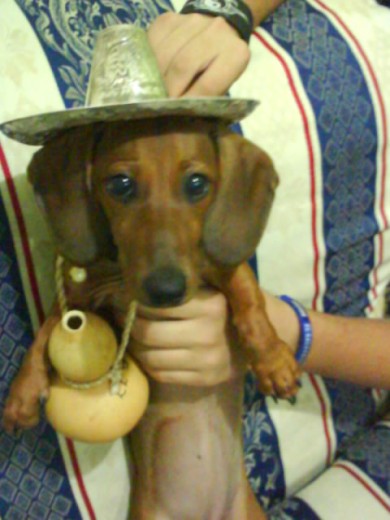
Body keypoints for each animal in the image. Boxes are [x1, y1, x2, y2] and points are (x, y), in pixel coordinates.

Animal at [3, 119, 300, 520]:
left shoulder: (214, 267)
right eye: (120, 184)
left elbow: (249, 299)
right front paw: (22, 391)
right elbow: (45, 333)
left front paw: (273, 360)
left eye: (197, 184)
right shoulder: (80, 299)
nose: (167, 290)